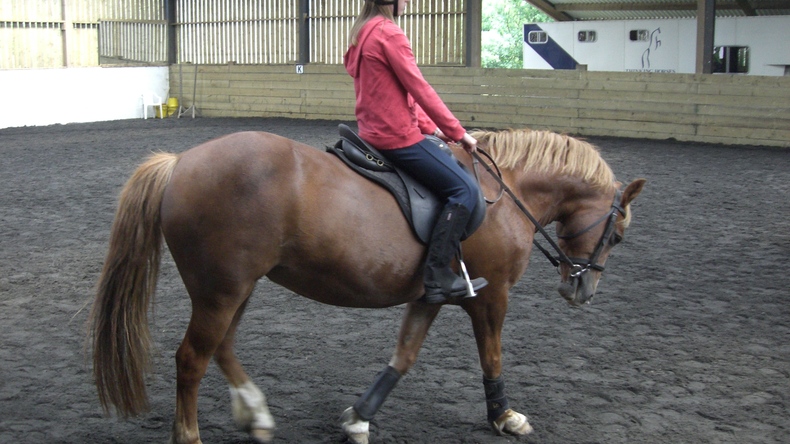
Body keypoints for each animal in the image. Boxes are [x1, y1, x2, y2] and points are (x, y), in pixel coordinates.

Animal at [89, 126, 645, 444]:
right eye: (616, 235)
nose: (582, 291)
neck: (505, 192)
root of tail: (180, 163)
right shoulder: (492, 296)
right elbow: (492, 356)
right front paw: (505, 416)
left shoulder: (433, 294)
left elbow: (404, 357)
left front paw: (359, 417)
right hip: (220, 289)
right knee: (191, 359)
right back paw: (194, 434)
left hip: (236, 286)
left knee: (220, 348)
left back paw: (257, 414)